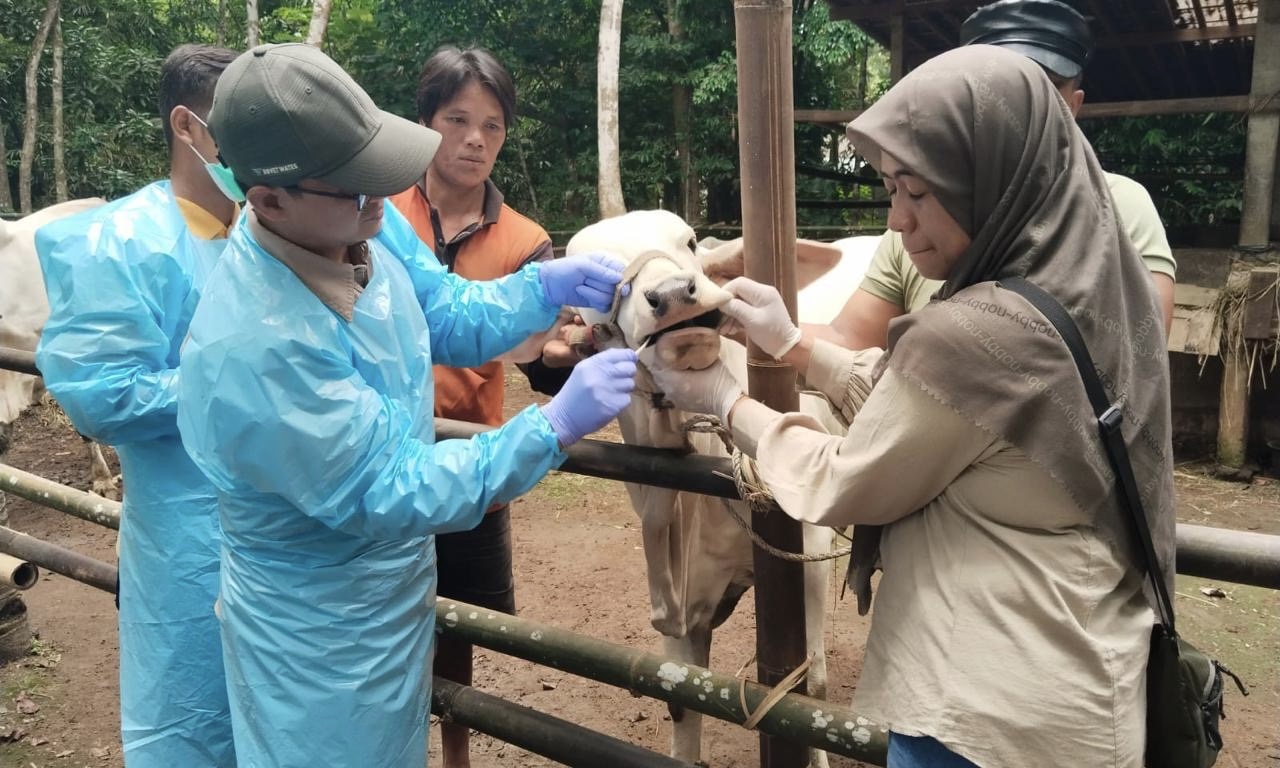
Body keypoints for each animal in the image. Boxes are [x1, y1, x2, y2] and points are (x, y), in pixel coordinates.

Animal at [570, 209, 880, 768]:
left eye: (691, 243)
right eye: (593, 280)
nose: (673, 294)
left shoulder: (806, 551)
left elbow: (811, 690)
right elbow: (679, 698)